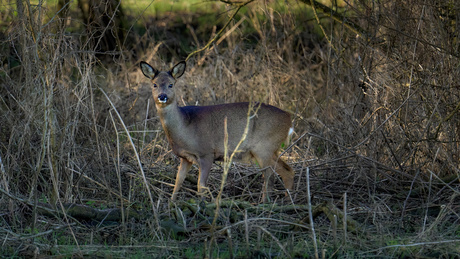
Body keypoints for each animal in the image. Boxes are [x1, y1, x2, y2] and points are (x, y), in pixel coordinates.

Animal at [139, 61, 294, 203]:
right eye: (154, 84)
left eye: (171, 84)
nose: (162, 96)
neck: (185, 127)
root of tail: (288, 118)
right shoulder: (185, 157)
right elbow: (178, 182)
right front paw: (172, 204)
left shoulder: (206, 152)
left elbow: (200, 185)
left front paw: (202, 205)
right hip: (269, 149)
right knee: (287, 170)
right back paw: (288, 200)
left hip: (264, 147)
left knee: (269, 175)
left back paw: (265, 203)